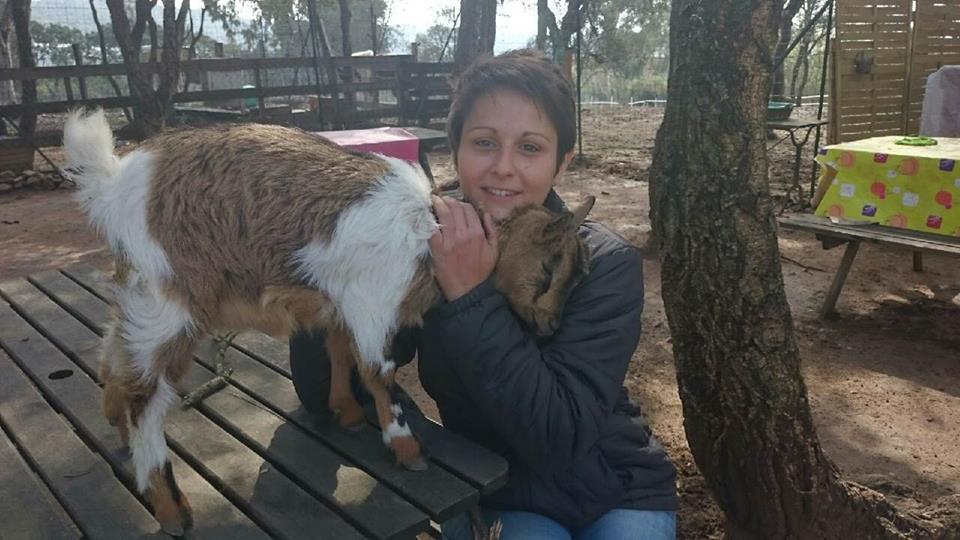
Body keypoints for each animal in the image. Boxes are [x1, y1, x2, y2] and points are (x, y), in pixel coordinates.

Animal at [63, 110, 592, 536]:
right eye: (549, 268)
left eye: (579, 276)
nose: (549, 328)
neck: (432, 231)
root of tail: (115, 179)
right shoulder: (372, 301)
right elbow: (378, 373)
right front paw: (406, 450)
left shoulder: (338, 303)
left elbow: (340, 352)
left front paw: (347, 413)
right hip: (170, 300)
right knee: (145, 395)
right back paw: (173, 509)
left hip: (140, 293)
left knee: (113, 357)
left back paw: (117, 429)